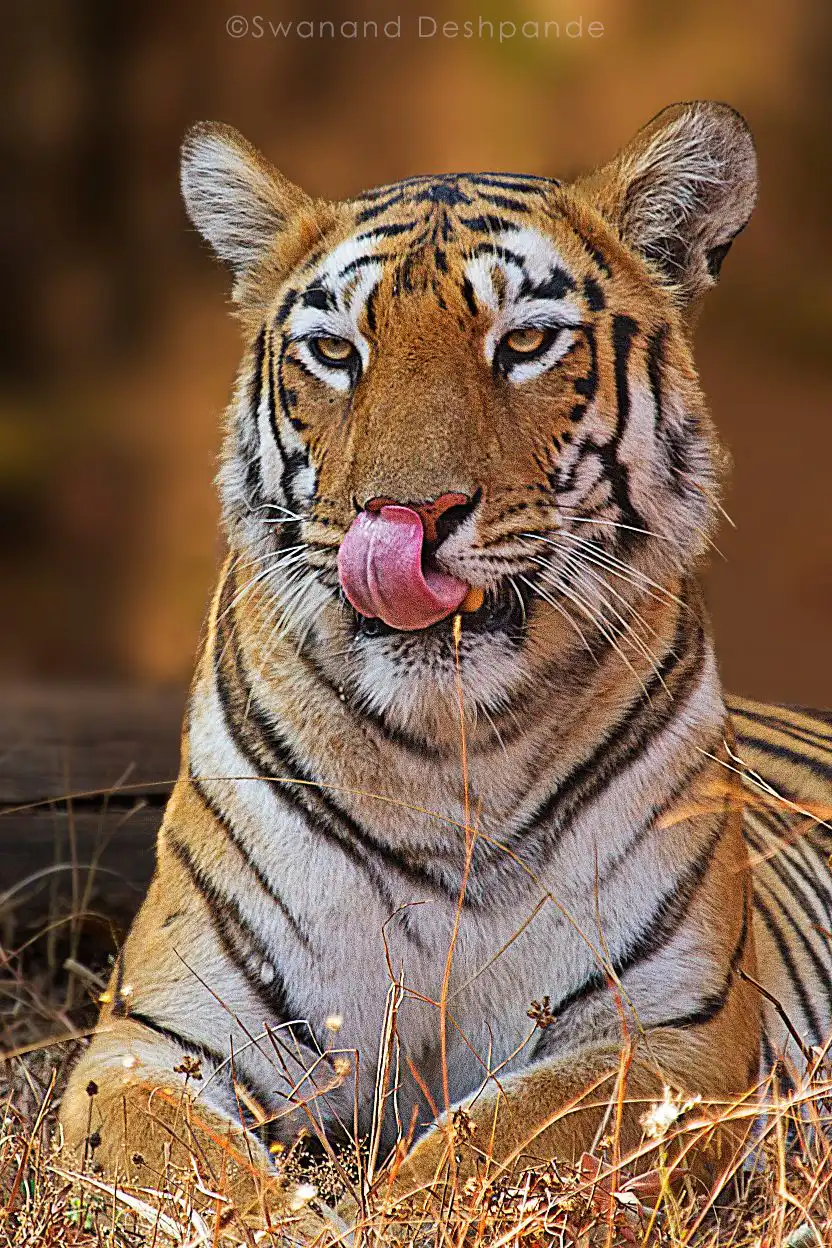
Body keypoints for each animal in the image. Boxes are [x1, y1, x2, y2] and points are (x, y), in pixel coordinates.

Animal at [59, 101, 832, 1234]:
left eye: (525, 343)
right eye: (335, 351)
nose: (405, 518)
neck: (446, 754)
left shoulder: (666, 1037)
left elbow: (493, 1149)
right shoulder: (156, 1040)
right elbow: (193, 1172)